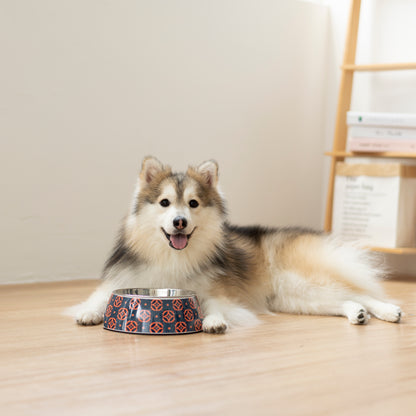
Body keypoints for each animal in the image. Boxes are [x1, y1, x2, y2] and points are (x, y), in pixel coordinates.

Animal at [67, 157, 400, 334]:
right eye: (164, 202)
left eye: (193, 203)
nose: (179, 222)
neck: (172, 255)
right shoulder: (124, 279)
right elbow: (98, 298)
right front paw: (89, 314)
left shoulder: (219, 292)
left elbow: (215, 305)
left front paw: (214, 321)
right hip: (293, 298)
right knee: (347, 299)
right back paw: (357, 313)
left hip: (303, 281)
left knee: (361, 292)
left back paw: (387, 310)